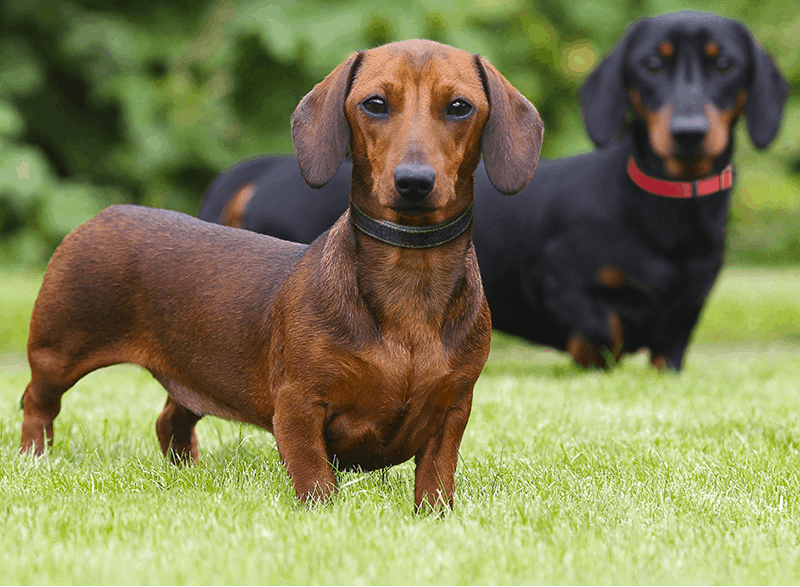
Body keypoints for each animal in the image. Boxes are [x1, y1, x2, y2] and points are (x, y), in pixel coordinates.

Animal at [18, 40, 544, 510]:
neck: (410, 278)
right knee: (36, 402)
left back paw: (185, 471)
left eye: (459, 107)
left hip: (192, 373)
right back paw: (32, 459)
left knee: (171, 420)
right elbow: (315, 478)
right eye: (375, 103)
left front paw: (435, 516)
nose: (414, 182)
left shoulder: (453, 409)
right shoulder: (298, 405)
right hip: (58, 349)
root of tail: (103, 214)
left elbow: (436, 475)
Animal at [198, 11, 788, 370]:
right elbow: (601, 330)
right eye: (651, 65)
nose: (689, 131)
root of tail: (265, 169)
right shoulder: (558, 278)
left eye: (724, 65)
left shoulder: (680, 330)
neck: (664, 213)